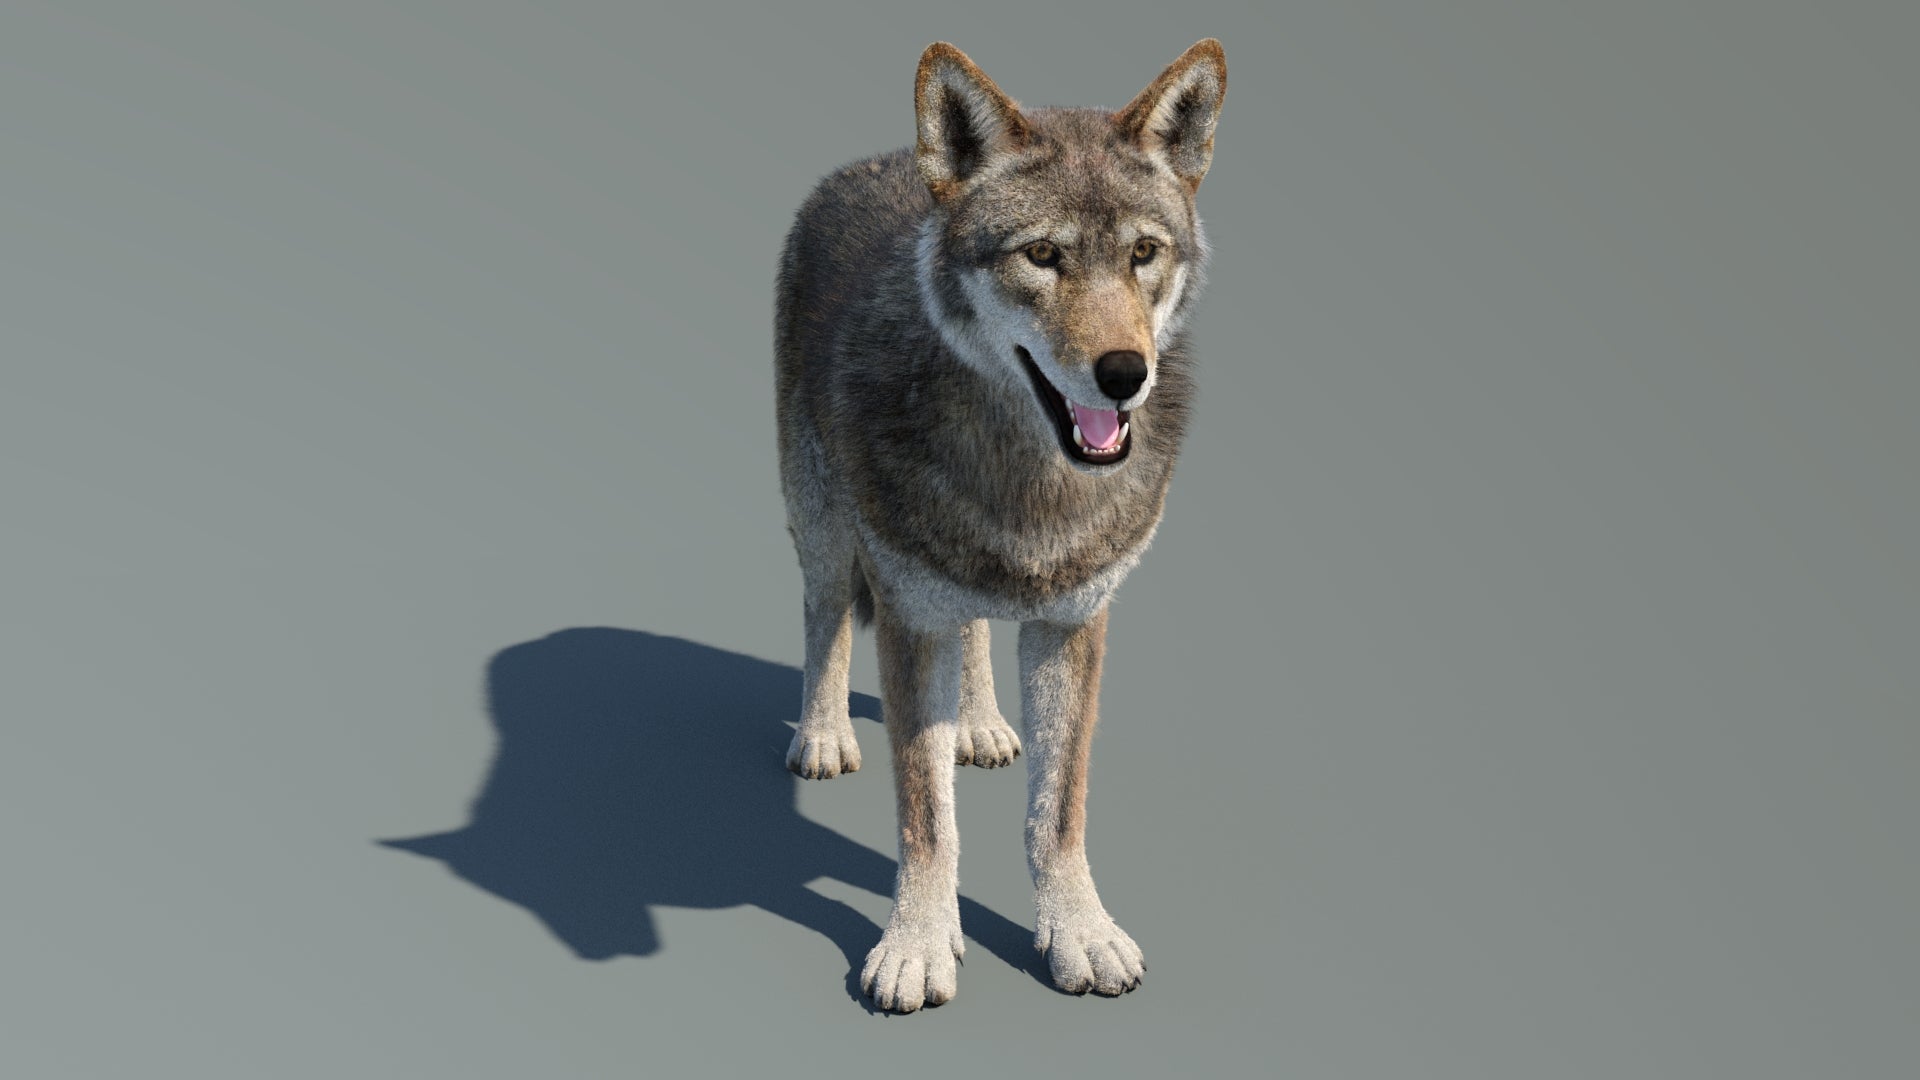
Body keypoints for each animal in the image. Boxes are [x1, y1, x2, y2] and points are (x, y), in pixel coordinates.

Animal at [774, 39, 1226, 1012]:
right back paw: (823, 736)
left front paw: (1080, 934)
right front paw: (915, 947)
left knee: (977, 624)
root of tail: (874, 160)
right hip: (821, 522)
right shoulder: (908, 616)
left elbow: (1057, 811)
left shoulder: (1075, 620)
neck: (1029, 487)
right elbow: (925, 815)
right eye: (1043, 255)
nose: (1125, 374)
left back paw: (977, 726)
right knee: (824, 614)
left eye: (1143, 253)